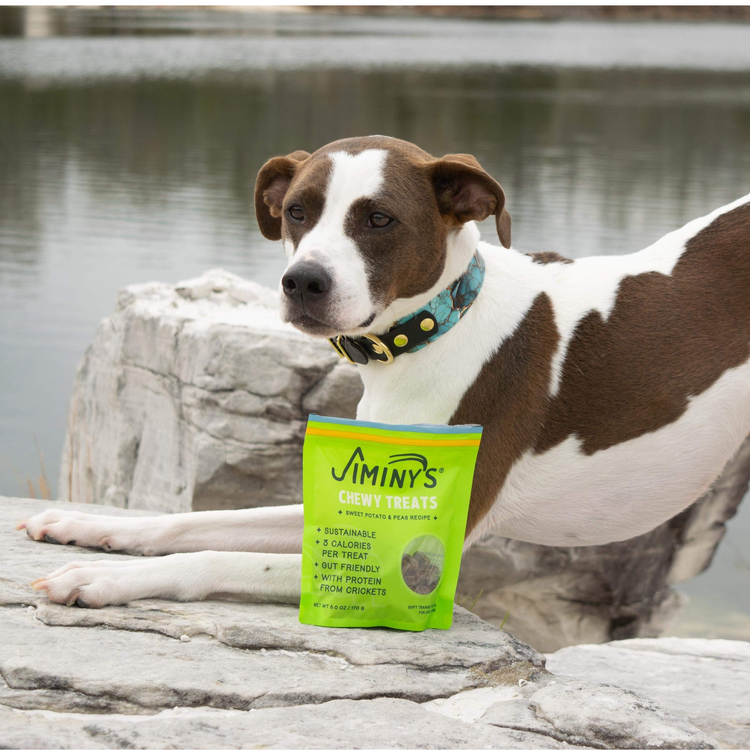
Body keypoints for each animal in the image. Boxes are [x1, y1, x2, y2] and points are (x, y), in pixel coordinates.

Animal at [16, 137, 750, 612]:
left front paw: (99, 581)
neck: (436, 329)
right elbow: (195, 524)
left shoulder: (410, 556)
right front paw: (92, 529)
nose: (302, 282)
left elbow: (213, 556)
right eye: (298, 211)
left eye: (378, 218)